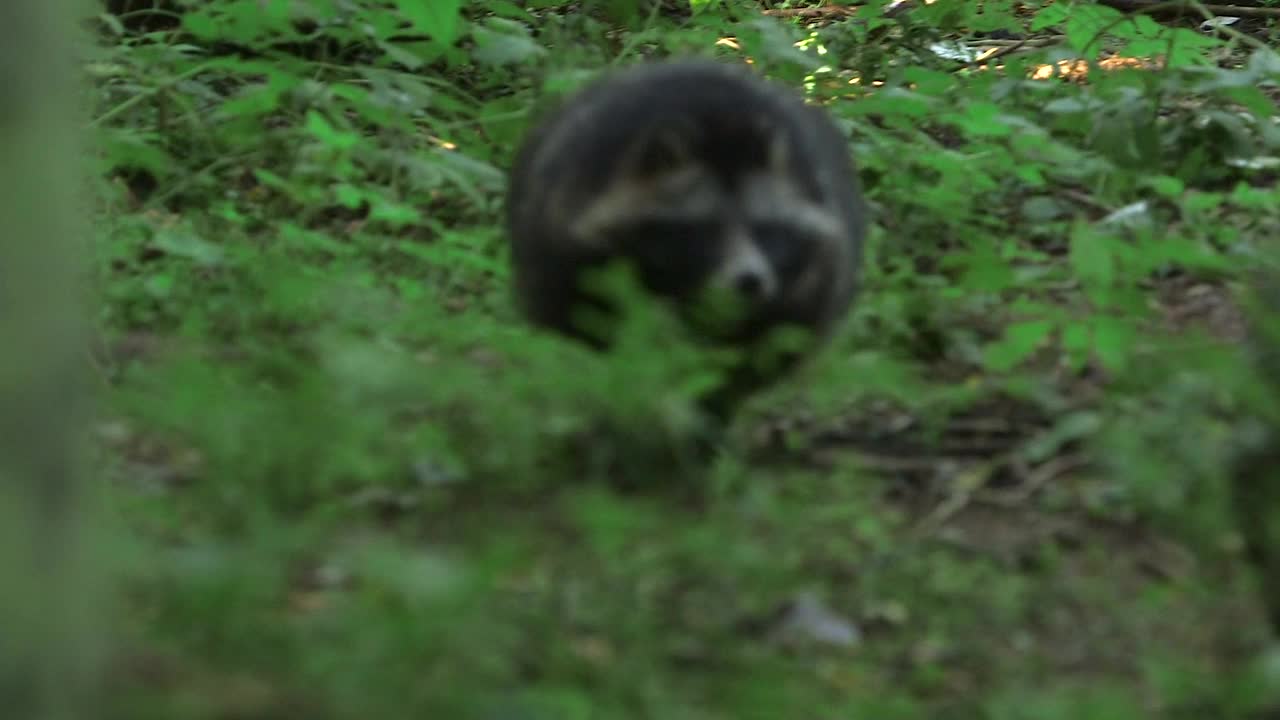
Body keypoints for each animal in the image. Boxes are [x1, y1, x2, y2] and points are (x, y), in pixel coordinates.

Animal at [504, 60, 865, 420]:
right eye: (706, 230)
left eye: (765, 230)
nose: (749, 282)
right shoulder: (571, 226)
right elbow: (589, 320)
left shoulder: (812, 271)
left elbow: (765, 349)